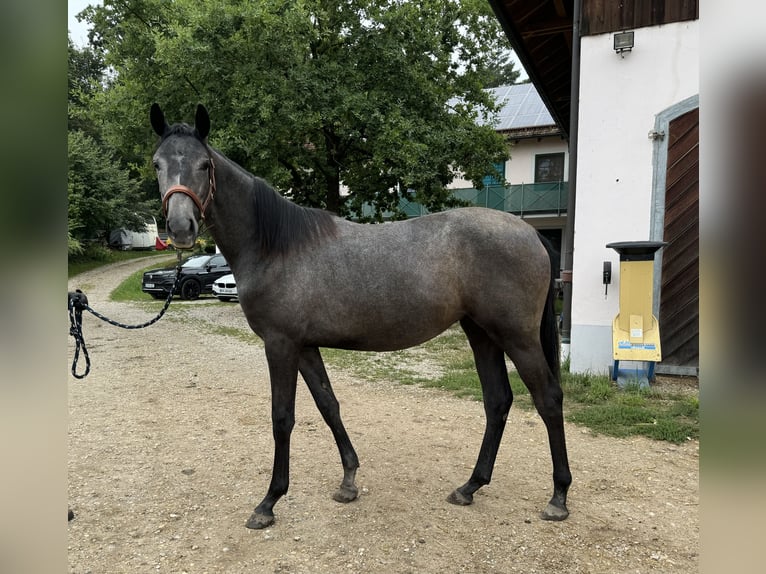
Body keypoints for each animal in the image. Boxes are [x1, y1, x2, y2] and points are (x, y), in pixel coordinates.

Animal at [150, 104, 572, 532]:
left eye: (204, 165)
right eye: (157, 164)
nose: (181, 228)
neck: (276, 246)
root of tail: (532, 234)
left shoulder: (280, 344)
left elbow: (282, 417)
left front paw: (269, 502)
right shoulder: (305, 347)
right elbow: (328, 405)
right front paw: (348, 480)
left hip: (517, 337)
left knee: (548, 399)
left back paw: (558, 497)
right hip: (481, 332)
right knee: (498, 401)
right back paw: (470, 486)